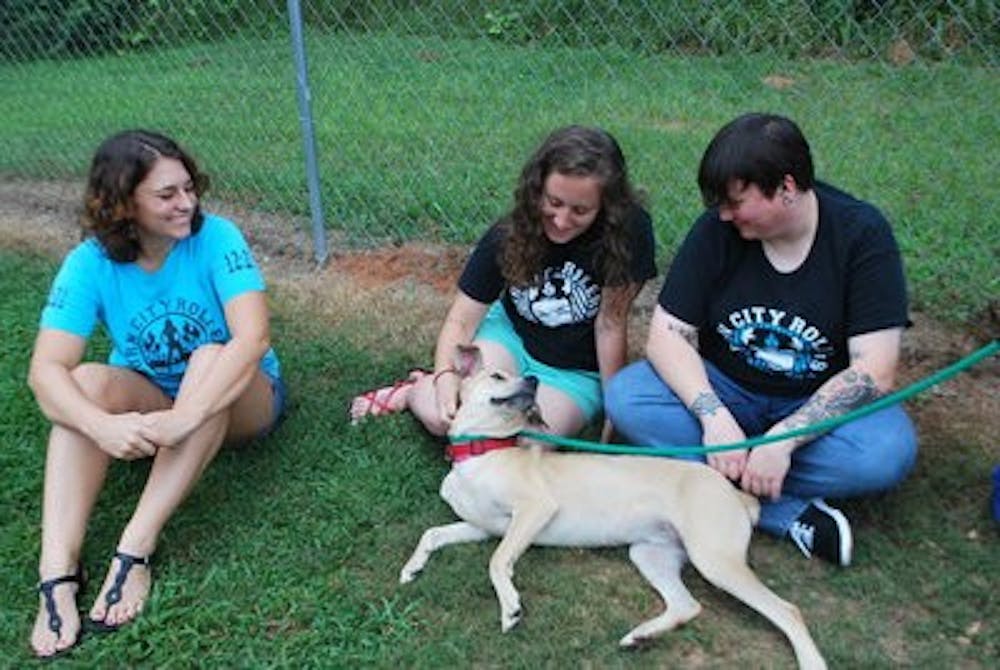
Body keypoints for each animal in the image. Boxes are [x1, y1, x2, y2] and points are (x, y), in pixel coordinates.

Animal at [398, 346, 828, 670]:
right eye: (499, 377)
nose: (535, 380)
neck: (481, 451)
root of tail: (736, 493)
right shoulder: (484, 526)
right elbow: (432, 534)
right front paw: (411, 568)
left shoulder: (534, 509)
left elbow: (497, 561)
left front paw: (510, 607)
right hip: (651, 555)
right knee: (688, 605)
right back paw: (641, 635)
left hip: (715, 559)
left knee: (788, 610)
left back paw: (811, 661)